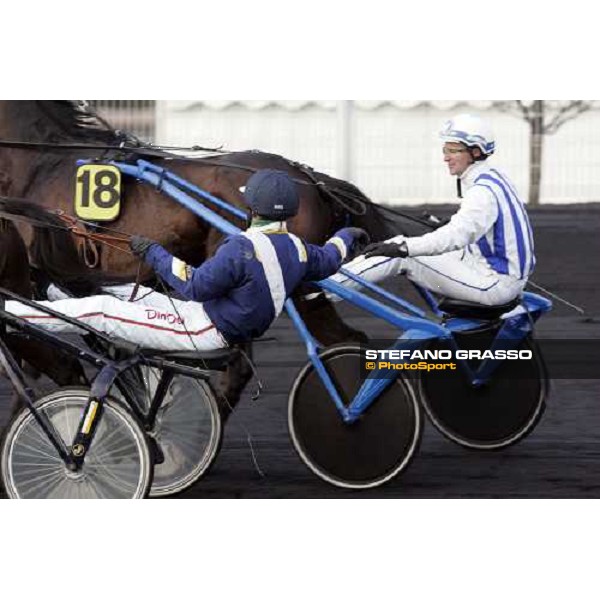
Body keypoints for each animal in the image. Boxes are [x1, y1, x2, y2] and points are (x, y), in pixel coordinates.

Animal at [0, 101, 432, 410]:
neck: (40, 165)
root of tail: (310, 179)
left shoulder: (33, 280)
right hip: (306, 285)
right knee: (345, 340)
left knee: (244, 366)